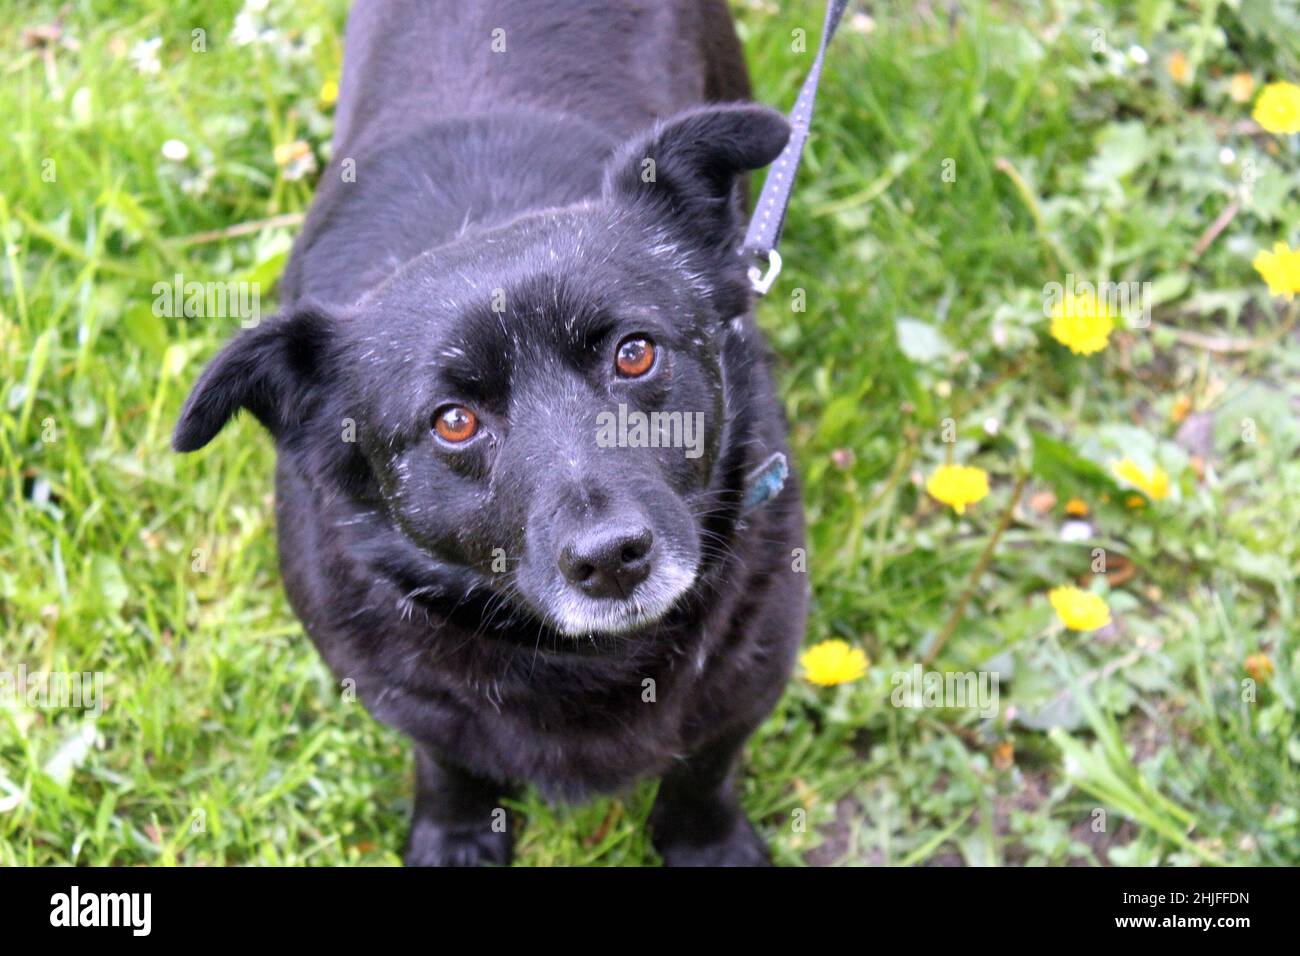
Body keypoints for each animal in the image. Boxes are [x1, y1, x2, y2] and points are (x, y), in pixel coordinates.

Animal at [172, 0, 800, 868]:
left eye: (634, 353)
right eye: (455, 422)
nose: (611, 561)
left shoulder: (750, 666)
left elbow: (704, 764)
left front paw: (705, 843)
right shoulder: (410, 695)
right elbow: (452, 760)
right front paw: (459, 832)